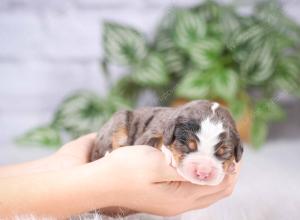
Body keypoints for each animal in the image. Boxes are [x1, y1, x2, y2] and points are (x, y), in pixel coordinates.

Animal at [90, 100, 243, 186]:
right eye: (188, 145)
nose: (203, 173)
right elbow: (159, 140)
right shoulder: (147, 135)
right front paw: (169, 153)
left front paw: (231, 167)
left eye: (223, 152)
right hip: (119, 120)